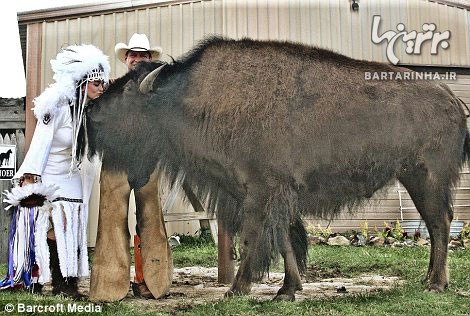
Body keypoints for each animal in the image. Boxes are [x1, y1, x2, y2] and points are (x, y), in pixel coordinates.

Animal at [84, 36, 470, 302]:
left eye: (128, 93)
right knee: (436, 226)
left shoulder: (261, 192)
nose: (91, 112)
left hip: (427, 178)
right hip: (413, 177)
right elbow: (285, 240)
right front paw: (287, 290)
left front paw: (236, 289)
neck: (190, 99)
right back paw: (427, 280)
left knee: (439, 224)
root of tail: (453, 100)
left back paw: (435, 284)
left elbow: (255, 239)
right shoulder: (272, 195)